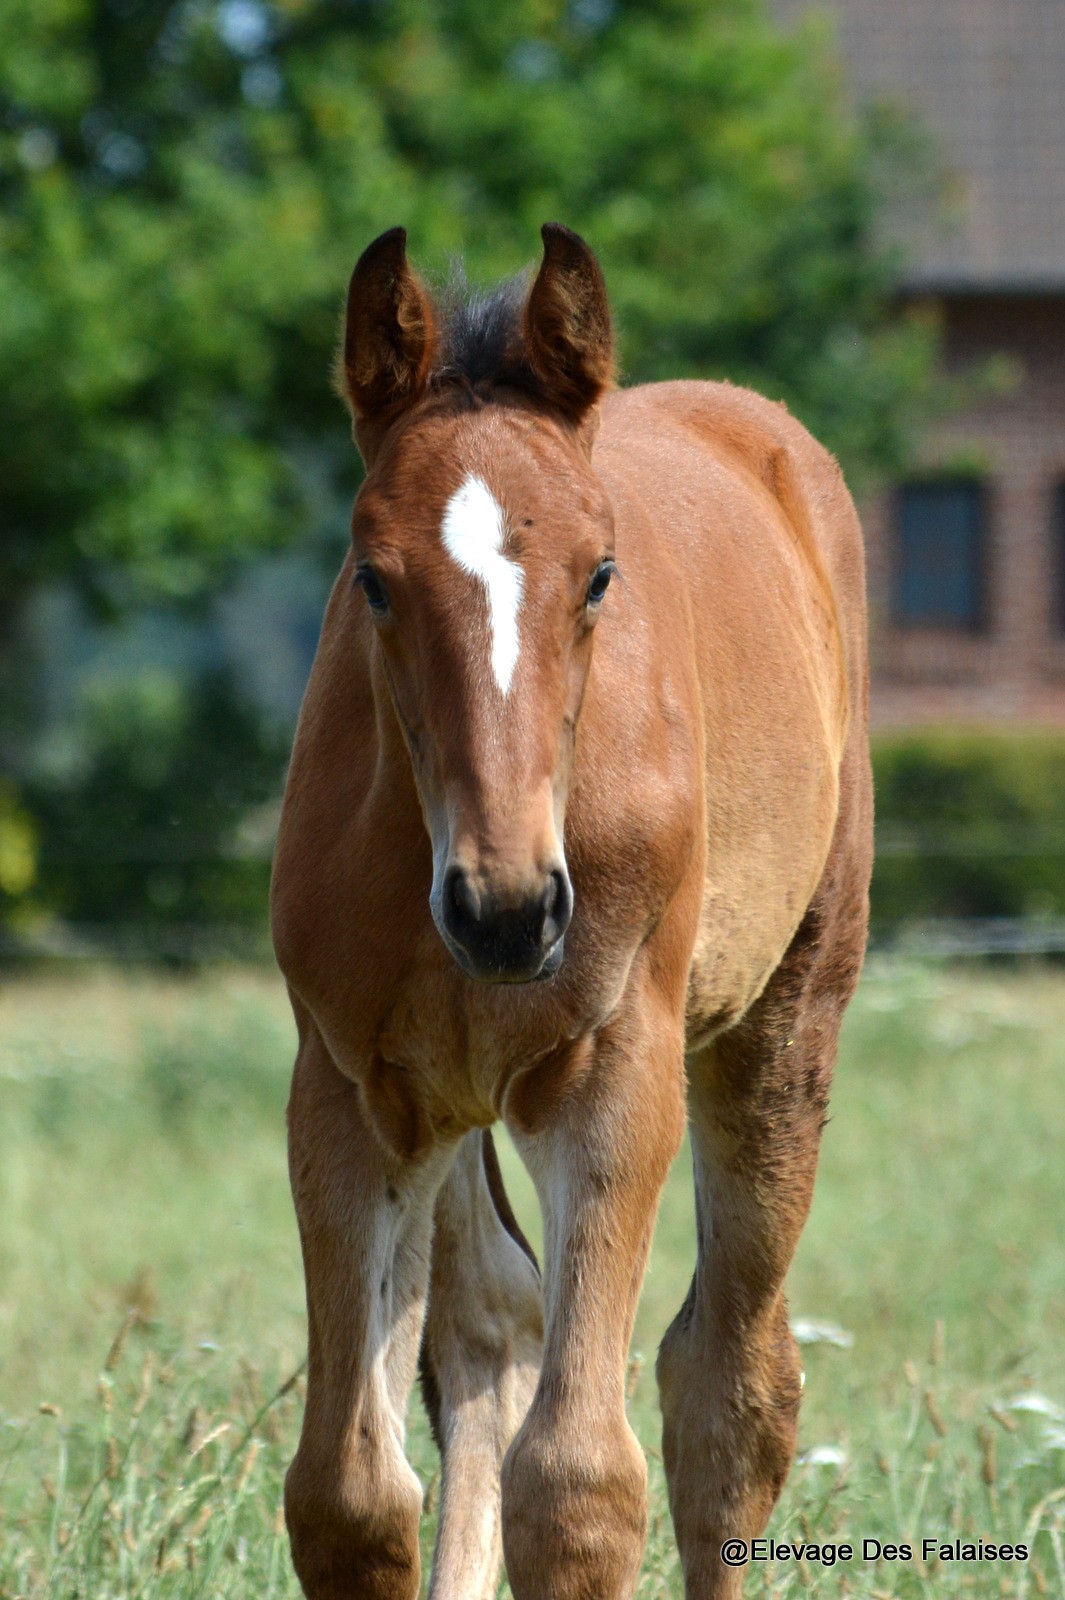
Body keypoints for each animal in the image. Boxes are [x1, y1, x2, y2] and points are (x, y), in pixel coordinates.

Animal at [271, 228, 869, 1600]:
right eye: (371, 580)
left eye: (600, 573)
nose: (507, 912)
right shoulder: (346, 1090)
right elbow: (348, 1494)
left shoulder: (611, 1071)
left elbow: (581, 1488)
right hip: (450, 1100)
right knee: (491, 1325)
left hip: (786, 1017)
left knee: (728, 1389)